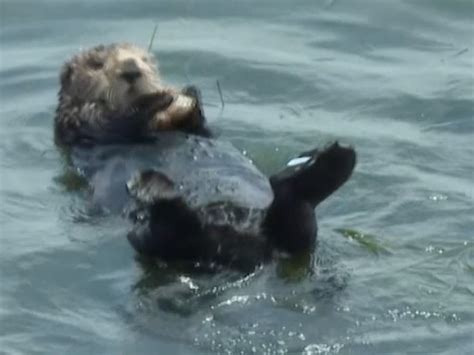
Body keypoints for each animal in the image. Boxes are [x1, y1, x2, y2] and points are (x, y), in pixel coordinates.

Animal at [56, 42, 356, 272]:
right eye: (96, 64)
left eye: (145, 59)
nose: (132, 69)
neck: (160, 127)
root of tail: (245, 246)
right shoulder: (77, 123)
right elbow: (111, 121)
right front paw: (159, 97)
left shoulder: (197, 129)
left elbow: (199, 125)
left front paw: (189, 94)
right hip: (161, 242)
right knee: (169, 229)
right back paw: (153, 187)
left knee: (294, 216)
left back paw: (327, 161)